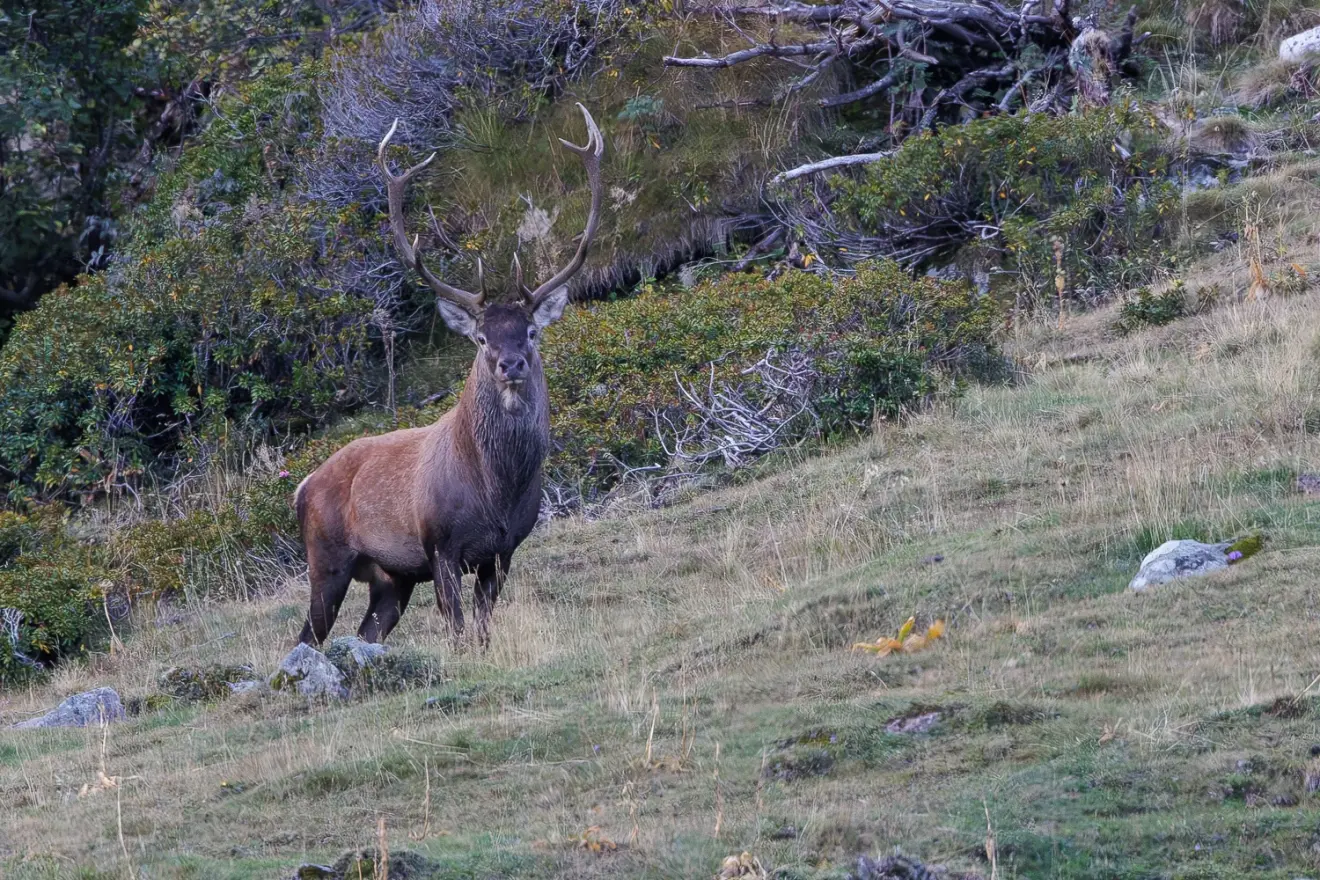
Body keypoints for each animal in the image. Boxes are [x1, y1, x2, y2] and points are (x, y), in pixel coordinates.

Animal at [294, 104, 603, 650]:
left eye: (530, 331)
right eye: (480, 338)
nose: (510, 363)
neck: (497, 494)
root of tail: (302, 486)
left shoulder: (504, 550)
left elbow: (481, 628)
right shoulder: (440, 546)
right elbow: (458, 629)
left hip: (390, 578)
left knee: (367, 629)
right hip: (325, 558)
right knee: (306, 635)